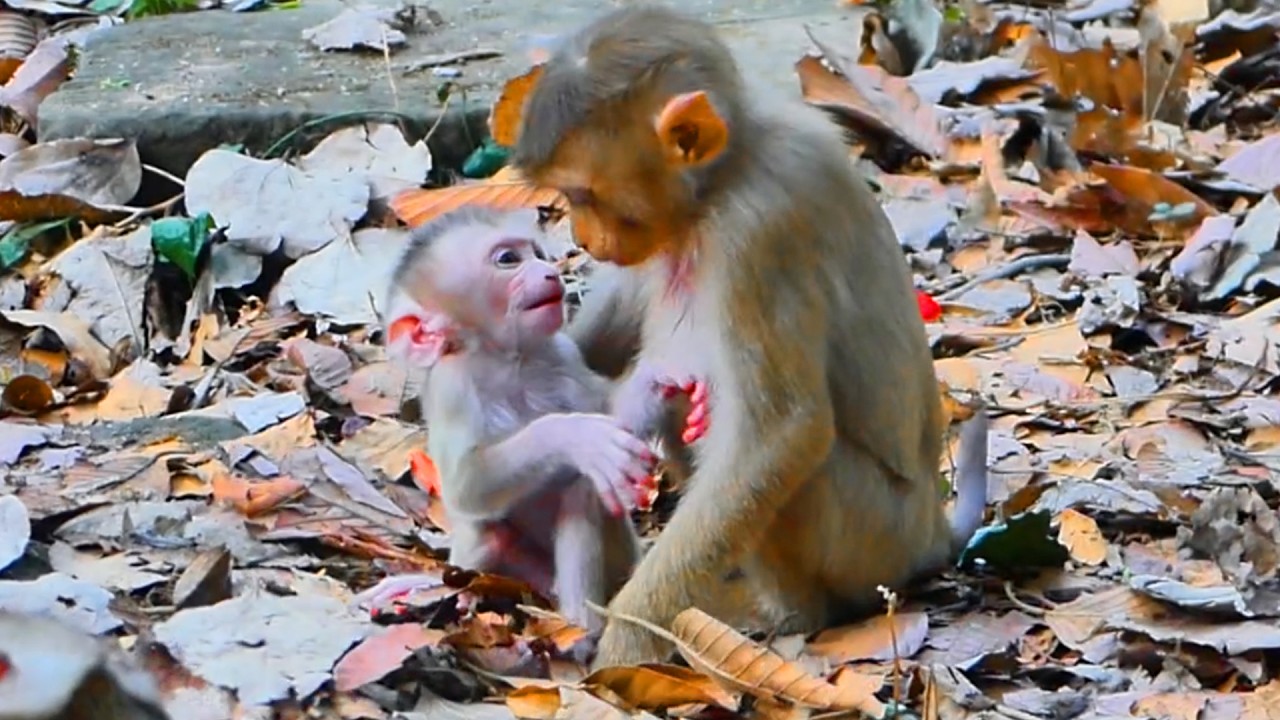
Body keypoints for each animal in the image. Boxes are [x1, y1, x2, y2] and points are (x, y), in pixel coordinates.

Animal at [382, 205, 708, 631]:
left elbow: (612, 416)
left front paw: (657, 381)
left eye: (536, 252)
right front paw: (577, 436)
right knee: (497, 533)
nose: (551, 272)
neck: (512, 362)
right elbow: (467, 486)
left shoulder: (561, 354)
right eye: (508, 259)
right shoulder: (454, 387)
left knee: (580, 498)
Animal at [509, 4, 990, 668]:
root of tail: (930, 532)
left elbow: (782, 435)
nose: (581, 236)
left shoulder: (757, 233)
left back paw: (788, 616)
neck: (725, 176)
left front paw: (627, 642)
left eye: (583, 195)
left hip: (872, 537)